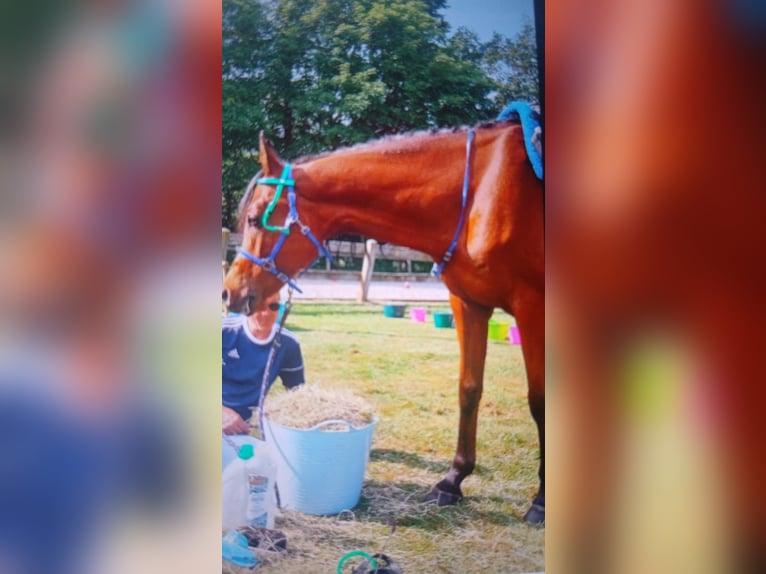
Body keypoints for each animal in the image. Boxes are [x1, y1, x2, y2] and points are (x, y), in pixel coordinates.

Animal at [223, 120, 545, 523]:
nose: (229, 291)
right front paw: (452, 482)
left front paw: (541, 501)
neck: (479, 191)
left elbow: (539, 401)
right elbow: (469, 389)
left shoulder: (532, 307)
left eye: (254, 219)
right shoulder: (469, 304)